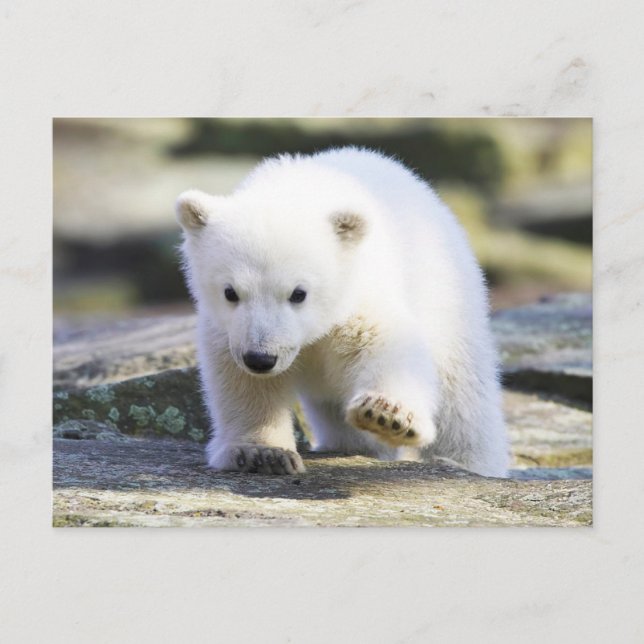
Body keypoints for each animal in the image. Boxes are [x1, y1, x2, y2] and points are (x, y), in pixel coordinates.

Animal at [176, 147, 509, 477]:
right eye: (230, 292)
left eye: (299, 293)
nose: (260, 358)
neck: (295, 190)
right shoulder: (228, 330)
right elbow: (242, 382)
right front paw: (263, 453)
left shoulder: (358, 293)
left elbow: (386, 343)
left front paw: (386, 414)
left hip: (448, 297)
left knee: (462, 397)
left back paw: (467, 462)